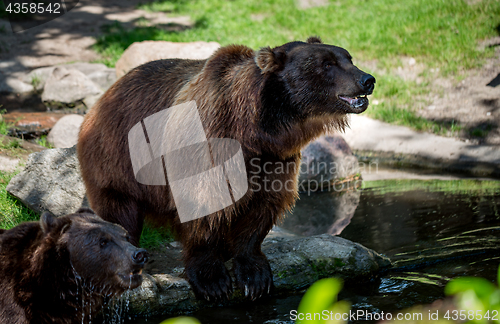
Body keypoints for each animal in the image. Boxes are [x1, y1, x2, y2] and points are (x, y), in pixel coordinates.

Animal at [77, 37, 376, 302]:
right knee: (119, 211)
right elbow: (204, 204)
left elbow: (262, 207)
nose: (367, 79)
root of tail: (106, 94)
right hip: (118, 156)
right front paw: (212, 280)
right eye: (327, 64)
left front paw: (254, 276)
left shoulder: (274, 160)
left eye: (348, 58)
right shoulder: (208, 141)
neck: (256, 130)